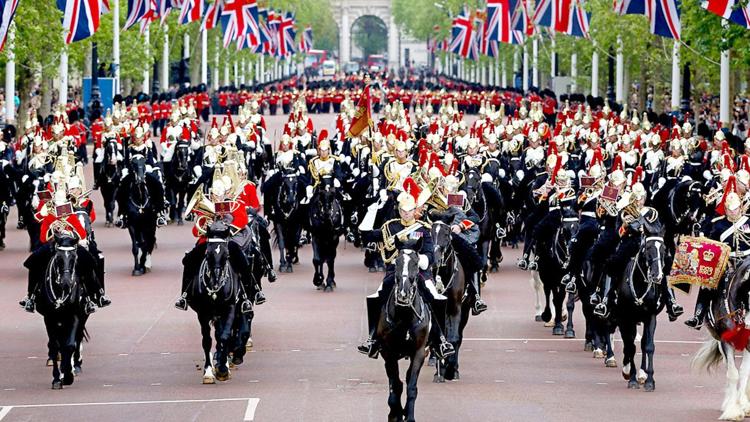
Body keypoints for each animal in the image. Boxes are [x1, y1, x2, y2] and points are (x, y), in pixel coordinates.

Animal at [185, 219, 241, 384]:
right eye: (207, 253)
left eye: (227, 254)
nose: (215, 284)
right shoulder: (202, 313)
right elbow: (207, 341)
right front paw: (208, 371)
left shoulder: (230, 308)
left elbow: (224, 336)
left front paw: (223, 368)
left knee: (221, 334)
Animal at [378, 251, 432, 422]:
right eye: (397, 262)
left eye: (415, 263)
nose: (403, 293)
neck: (405, 316)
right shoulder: (388, 353)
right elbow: (395, 385)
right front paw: (395, 414)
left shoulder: (419, 352)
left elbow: (411, 386)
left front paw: (409, 417)